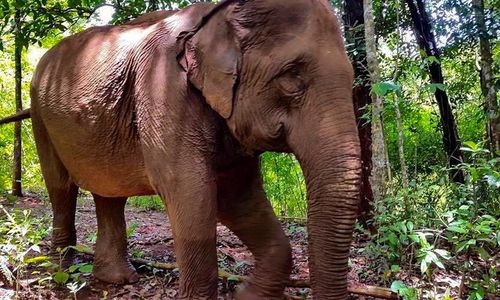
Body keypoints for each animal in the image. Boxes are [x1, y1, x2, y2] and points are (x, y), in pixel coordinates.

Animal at [29, 0, 360, 298]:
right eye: (291, 77)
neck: (216, 17)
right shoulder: (163, 90)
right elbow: (190, 190)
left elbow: (238, 195)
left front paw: (248, 295)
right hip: (40, 115)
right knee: (60, 188)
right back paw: (60, 273)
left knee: (109, 193)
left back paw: (116, 279)